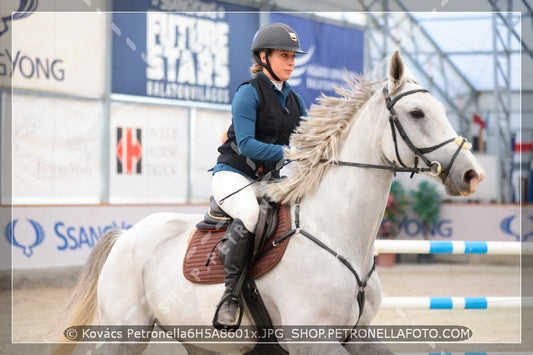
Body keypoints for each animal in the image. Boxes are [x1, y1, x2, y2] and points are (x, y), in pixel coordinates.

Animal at [56, 50, 484, 355]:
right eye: (417, 113)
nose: (471, 174)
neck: (341, 235)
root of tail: (125, 236)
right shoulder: (315, 342)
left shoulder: (358, 336)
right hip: (123, 334)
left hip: (197, 340)